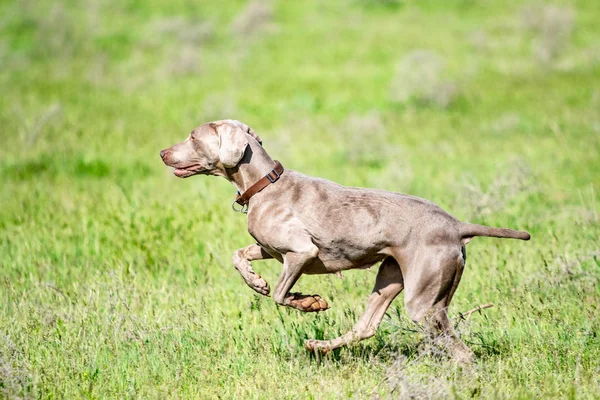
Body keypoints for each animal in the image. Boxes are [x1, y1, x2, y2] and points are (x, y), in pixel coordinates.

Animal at [159, 119, 528, 362]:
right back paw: (319, 346)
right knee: (366, 326)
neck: (264, 183)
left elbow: (280, 295)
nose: (162, 152)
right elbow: (239, 256)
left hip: (424, 300)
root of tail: (456, 225)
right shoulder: (271, 249)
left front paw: (310, 302)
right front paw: (256, 281)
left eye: (193, 136)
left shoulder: (301, 252)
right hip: (391, 275)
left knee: (460, 349)